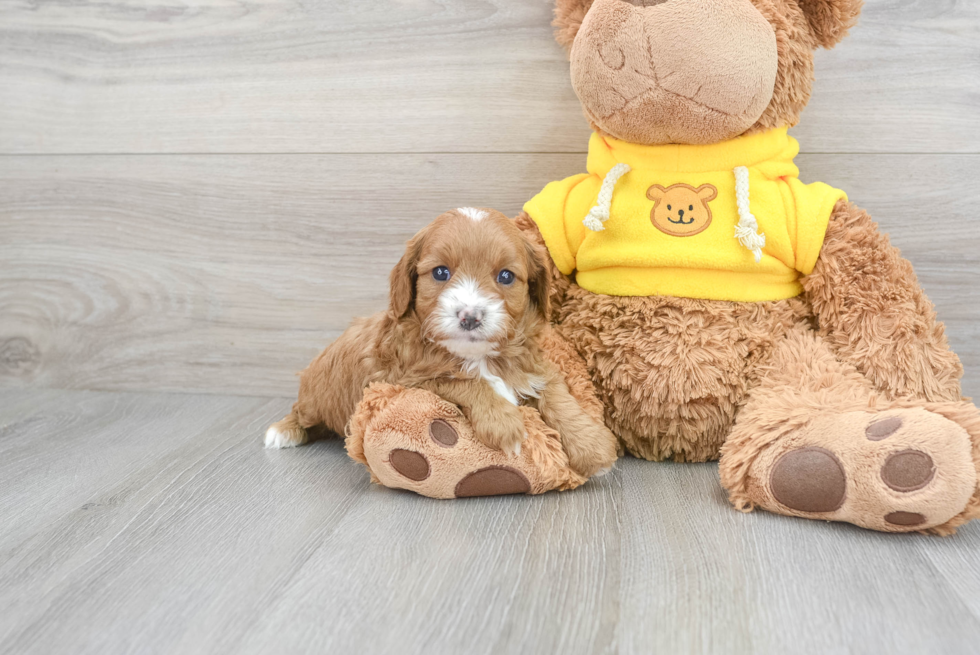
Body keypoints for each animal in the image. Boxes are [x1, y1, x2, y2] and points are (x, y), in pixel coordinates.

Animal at [264, 208, 616, 480]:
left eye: (505, 276)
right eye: (441, 272)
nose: (470, 316)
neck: (480, 356)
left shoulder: (534, 366)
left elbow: (558, 396)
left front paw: (593, 448)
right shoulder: (408, 380)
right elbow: (464, 381)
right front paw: (504, 424)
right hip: (316, 398)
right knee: (300, 412)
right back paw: (282, 431)